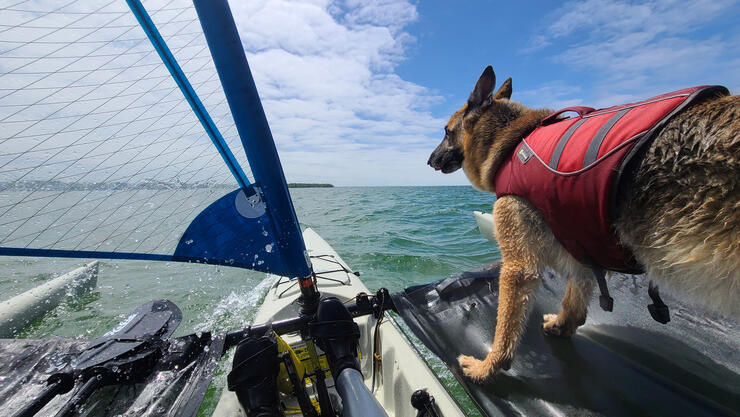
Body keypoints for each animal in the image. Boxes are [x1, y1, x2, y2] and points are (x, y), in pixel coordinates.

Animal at [428, 66, 740, 382]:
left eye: (446, 131)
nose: (429, 160)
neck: (511, 141)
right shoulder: (584, 251)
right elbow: (574, 298)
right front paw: (562, 325)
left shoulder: (519, 267)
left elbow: (505, 325)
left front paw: (488, 367)